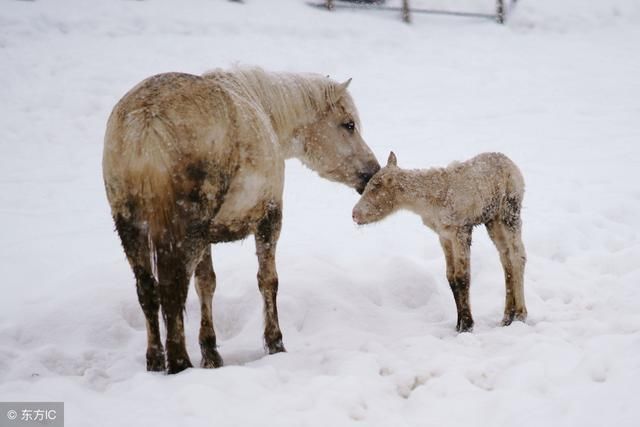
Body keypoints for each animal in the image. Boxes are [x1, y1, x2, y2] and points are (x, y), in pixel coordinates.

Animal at [102, 67, 378, 374]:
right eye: (349, 124)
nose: (373, 172)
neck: (266, 111)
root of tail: (146, 124)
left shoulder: (207, 235)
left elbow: (206, 284)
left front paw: (211, 354)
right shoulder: (270, 216)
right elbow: (267, 280)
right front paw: (275, 343)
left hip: (131, 228)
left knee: (147, 290)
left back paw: (154, 360)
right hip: (182, 232)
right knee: (172, 292)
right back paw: (179, 363)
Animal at [352, 152, 528, 332]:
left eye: (375, 187)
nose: (354, 214)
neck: (426, 204)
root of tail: (512, 164)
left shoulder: (461, 230)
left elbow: (462, 277)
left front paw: (467, 325)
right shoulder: (444, 235)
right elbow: (451, 277)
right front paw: (458, 324)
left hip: (509, 211)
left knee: (518, 256)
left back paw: (520, 314)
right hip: (492, 220)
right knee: (505, 258)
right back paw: (507, 316)